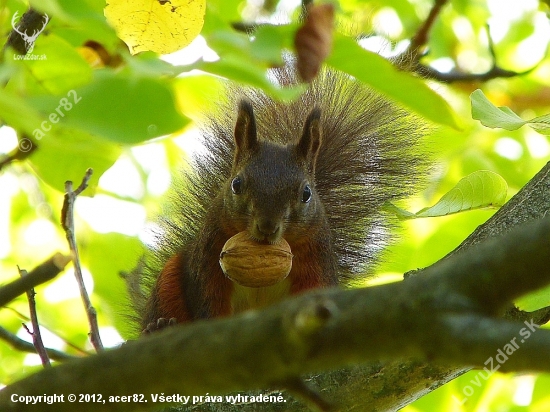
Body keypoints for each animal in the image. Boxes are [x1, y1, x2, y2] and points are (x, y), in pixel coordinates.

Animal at [133, 66, 432, 334]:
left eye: (306, 193)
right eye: (236, 184)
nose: (267, 227)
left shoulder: (316, 259)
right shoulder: (208, 258)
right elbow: (209, 303)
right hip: (168, 281)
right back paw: (159, 326)